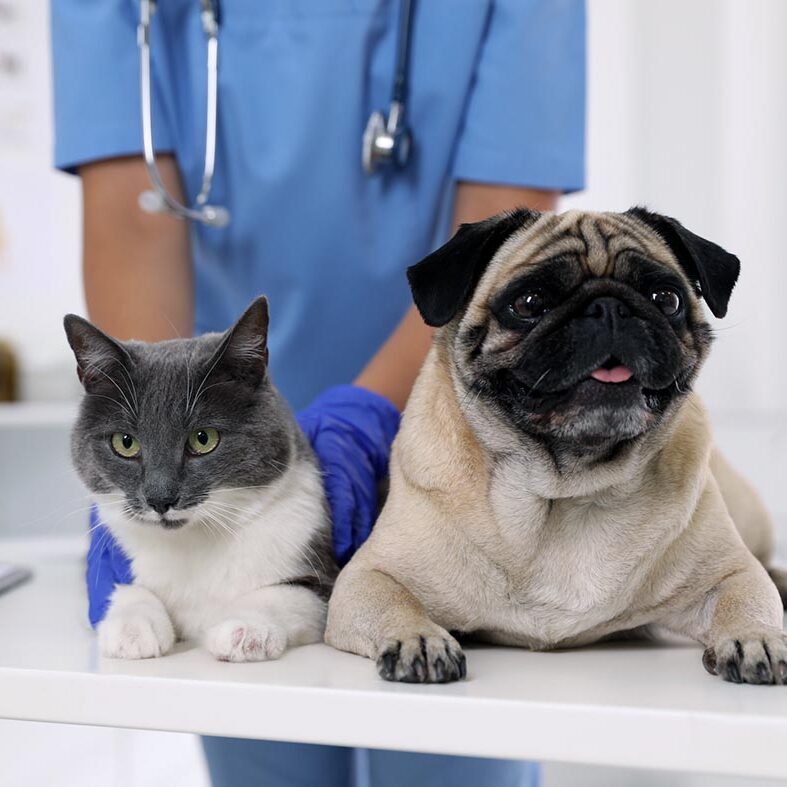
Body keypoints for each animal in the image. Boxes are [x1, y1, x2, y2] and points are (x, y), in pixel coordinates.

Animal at [66, 298, 338, 660]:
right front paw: (133, 627)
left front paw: (245, 628)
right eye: (125, 443)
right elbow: (123, 586)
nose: (160, 498)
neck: (194, 544)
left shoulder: (316, 558)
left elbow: (290, 594)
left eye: (203, 438)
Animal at [326, 208, 787, 684]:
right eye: (529, 303)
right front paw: (419, 639)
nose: (609, 308)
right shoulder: (368, 578)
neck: (567, 491)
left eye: (666, 299)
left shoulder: (730, 573)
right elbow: (393, 603)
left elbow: (747, 598)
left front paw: (757, 639)